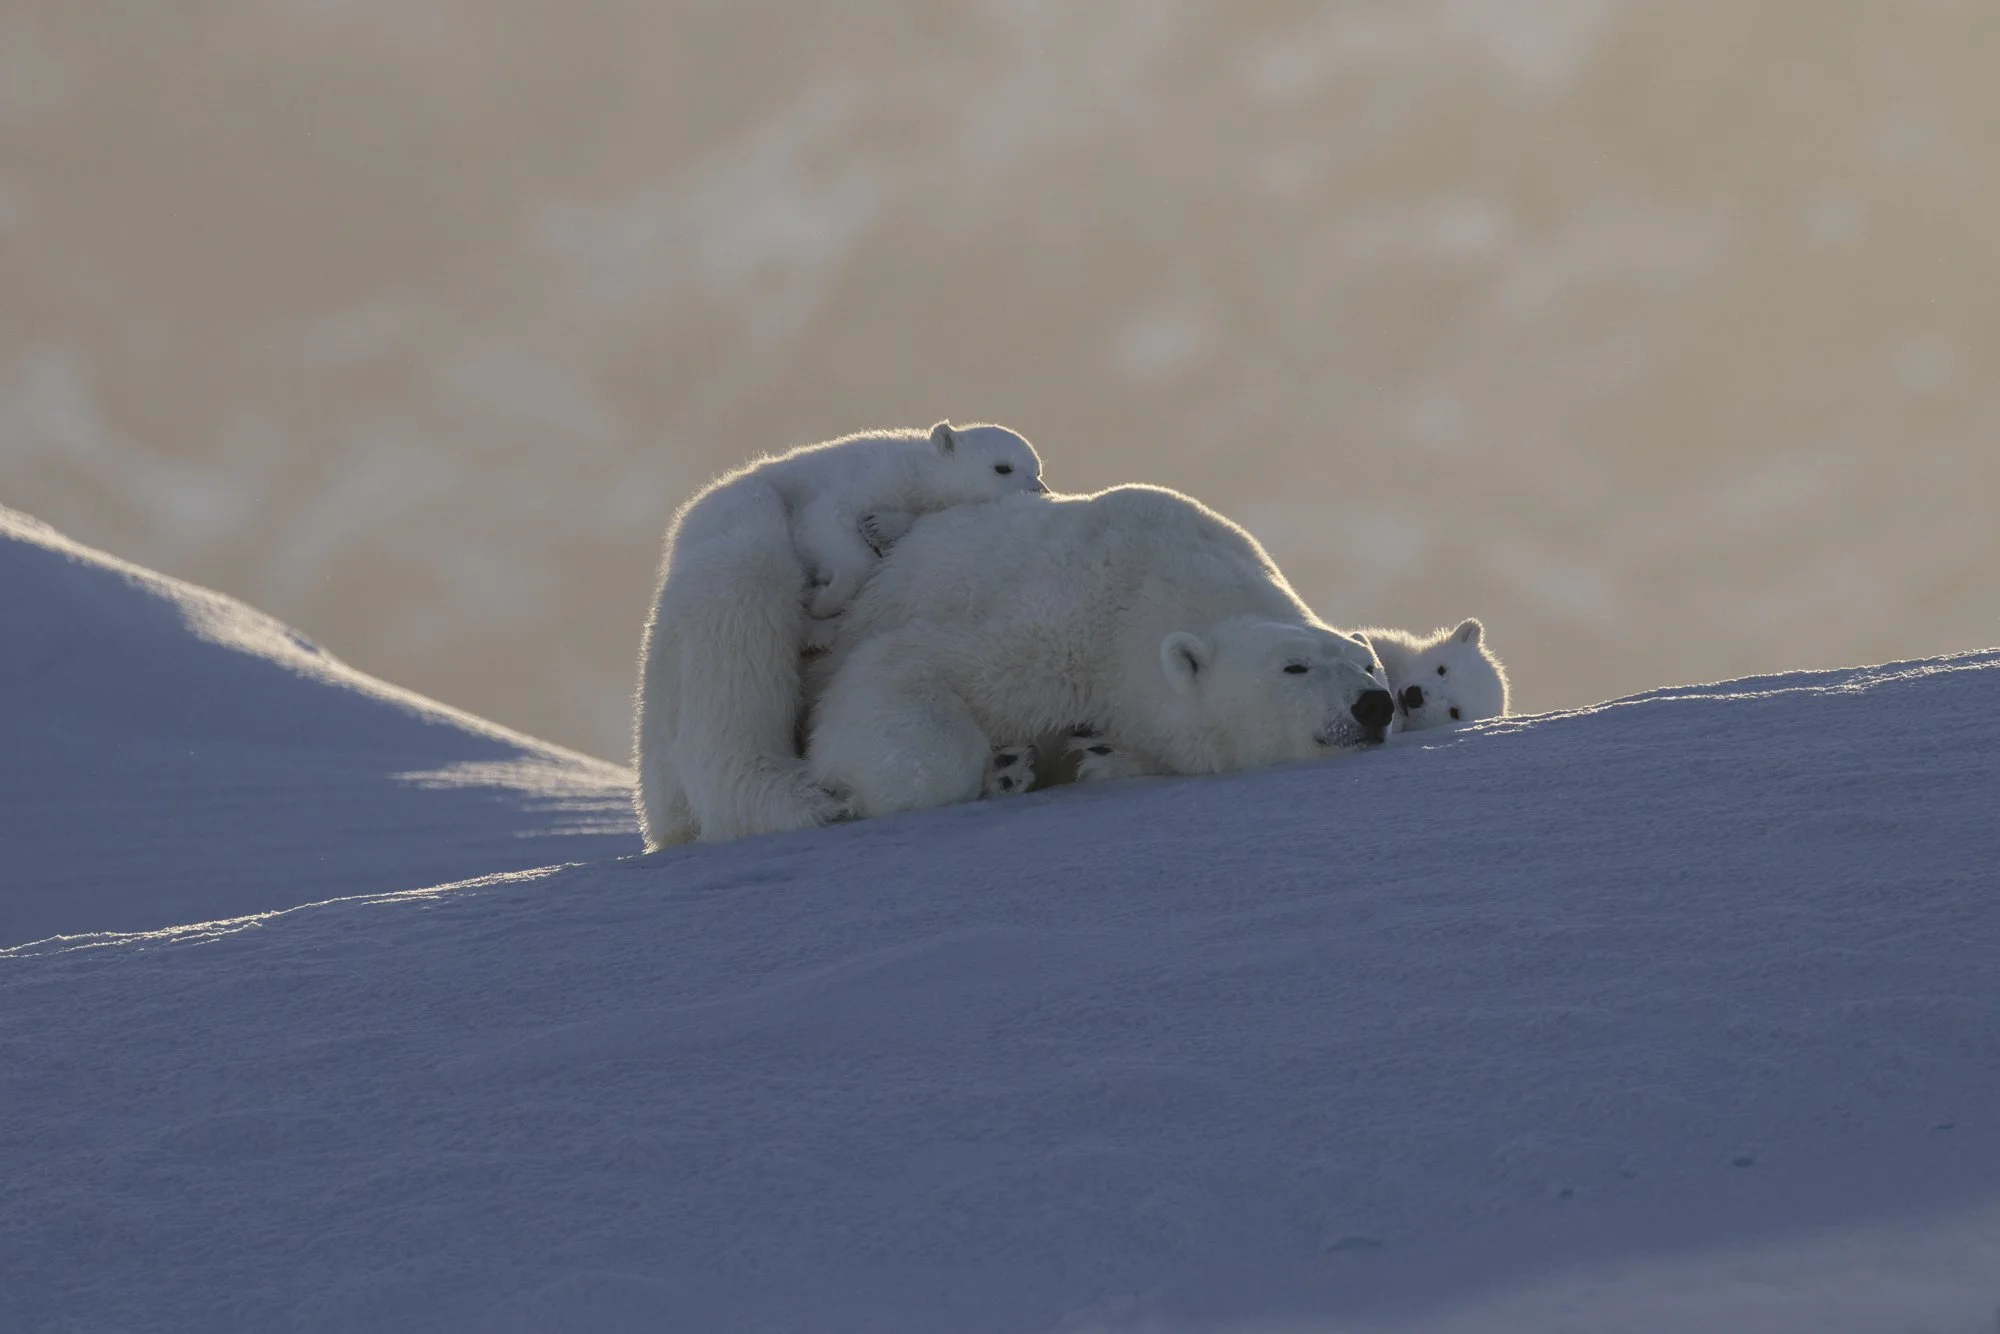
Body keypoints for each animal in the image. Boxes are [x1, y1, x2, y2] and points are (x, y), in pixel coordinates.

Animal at [633, 421, 1048, 850]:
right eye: (1003, 467)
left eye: (1036, 468)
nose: (1039, 490)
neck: (914, 470)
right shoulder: (859, 482)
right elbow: (827, 528)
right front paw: (824, 598)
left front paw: (881, 529)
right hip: (742, 532)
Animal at [805, 483, 1396, 820]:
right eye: (1294, 667)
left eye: (1368, 666)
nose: (1373, 705)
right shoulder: (1059, 630)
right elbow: (903, 662)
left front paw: (1101, 752)